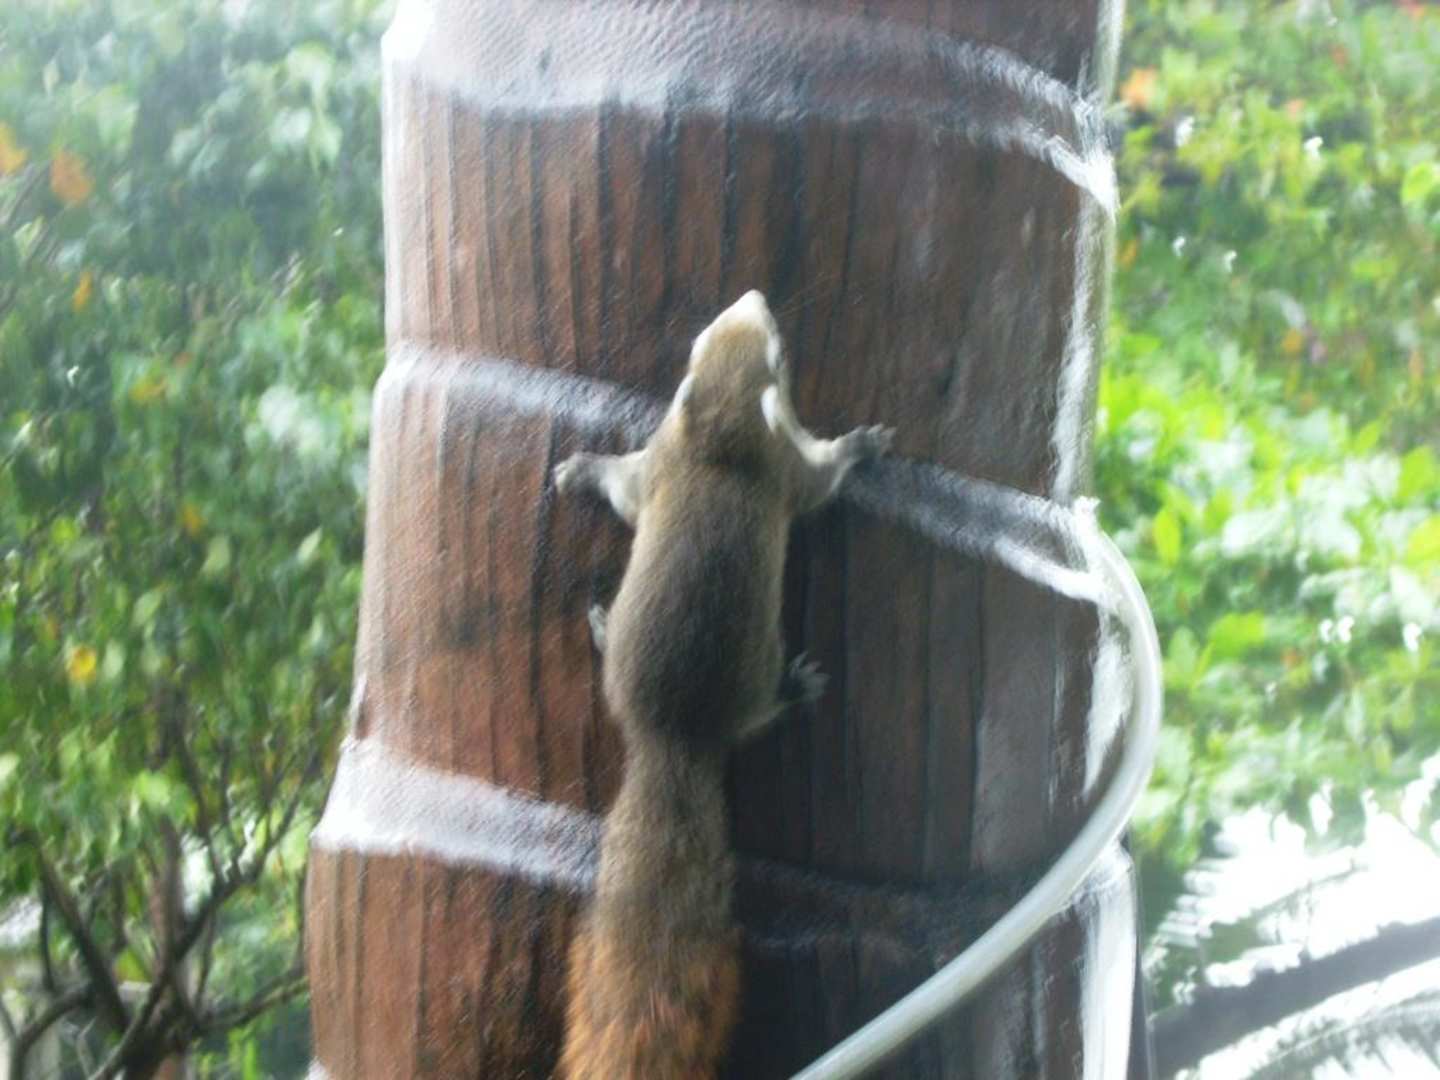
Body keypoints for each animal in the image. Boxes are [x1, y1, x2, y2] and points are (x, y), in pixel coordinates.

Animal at [552, 290, 893, 1079]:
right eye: (781, 354)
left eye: (707, 337)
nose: (756, 297)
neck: (721, 430)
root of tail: (675, 736)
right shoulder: (784, 473)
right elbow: (823, 479)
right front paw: (859, 446)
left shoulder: (657, 466)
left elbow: (620, 486)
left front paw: (581, 469)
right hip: (759, 674)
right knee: (765, 712)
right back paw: (792, 690)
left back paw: (602, 627)